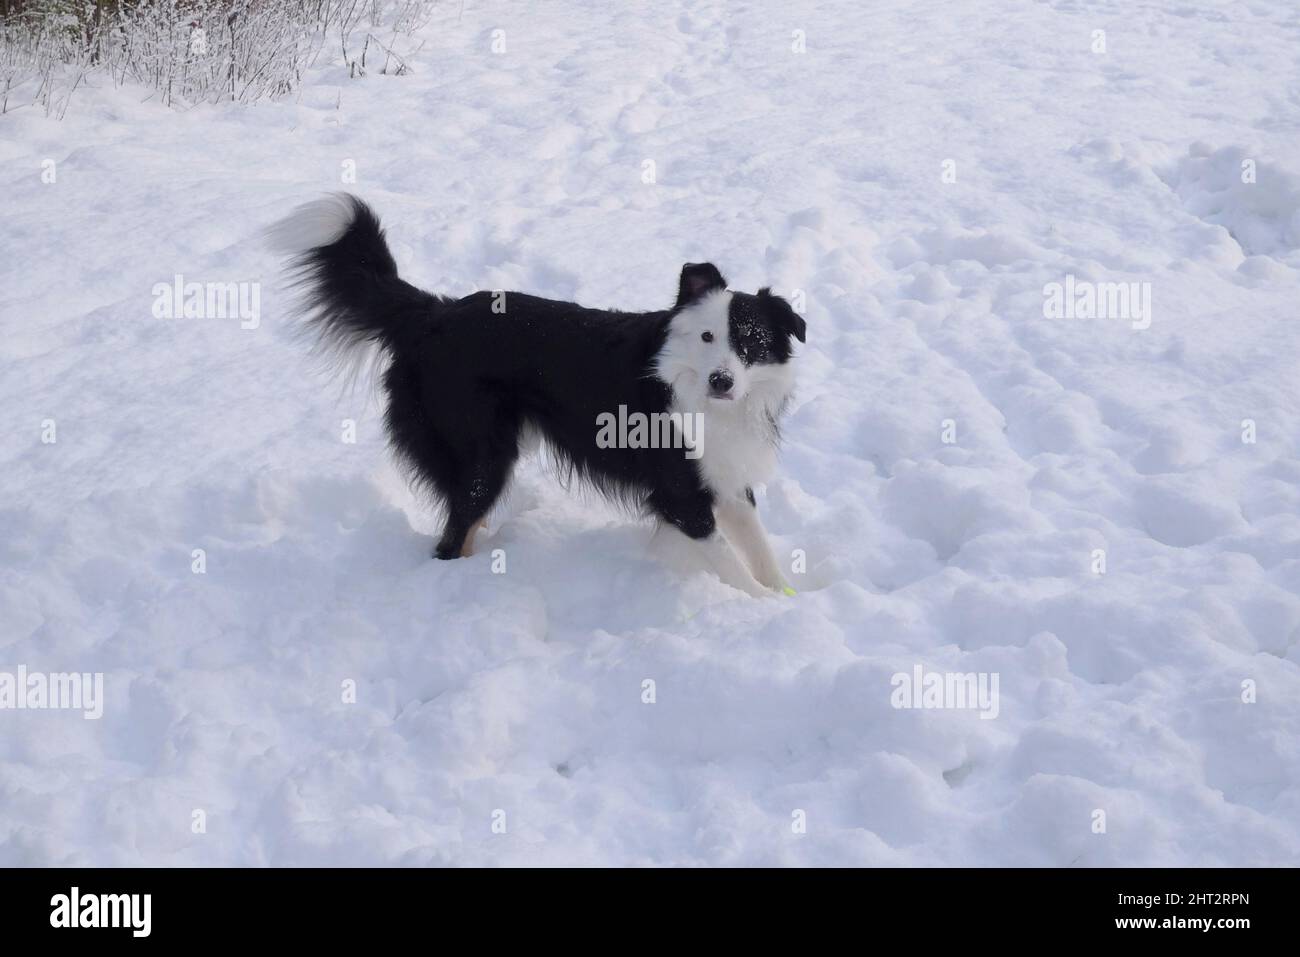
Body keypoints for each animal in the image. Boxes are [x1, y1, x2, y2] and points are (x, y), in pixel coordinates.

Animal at [267, 195, 800, 595]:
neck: (692, 391)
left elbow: (759, 549)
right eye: (709, 337)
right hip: (482, 454)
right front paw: (760, 610)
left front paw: (786, 596)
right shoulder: (680, 495)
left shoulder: (726, 476)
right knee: (451, 538)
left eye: (750, 344)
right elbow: (733, 566)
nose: (722, 381)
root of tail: (434, 314)